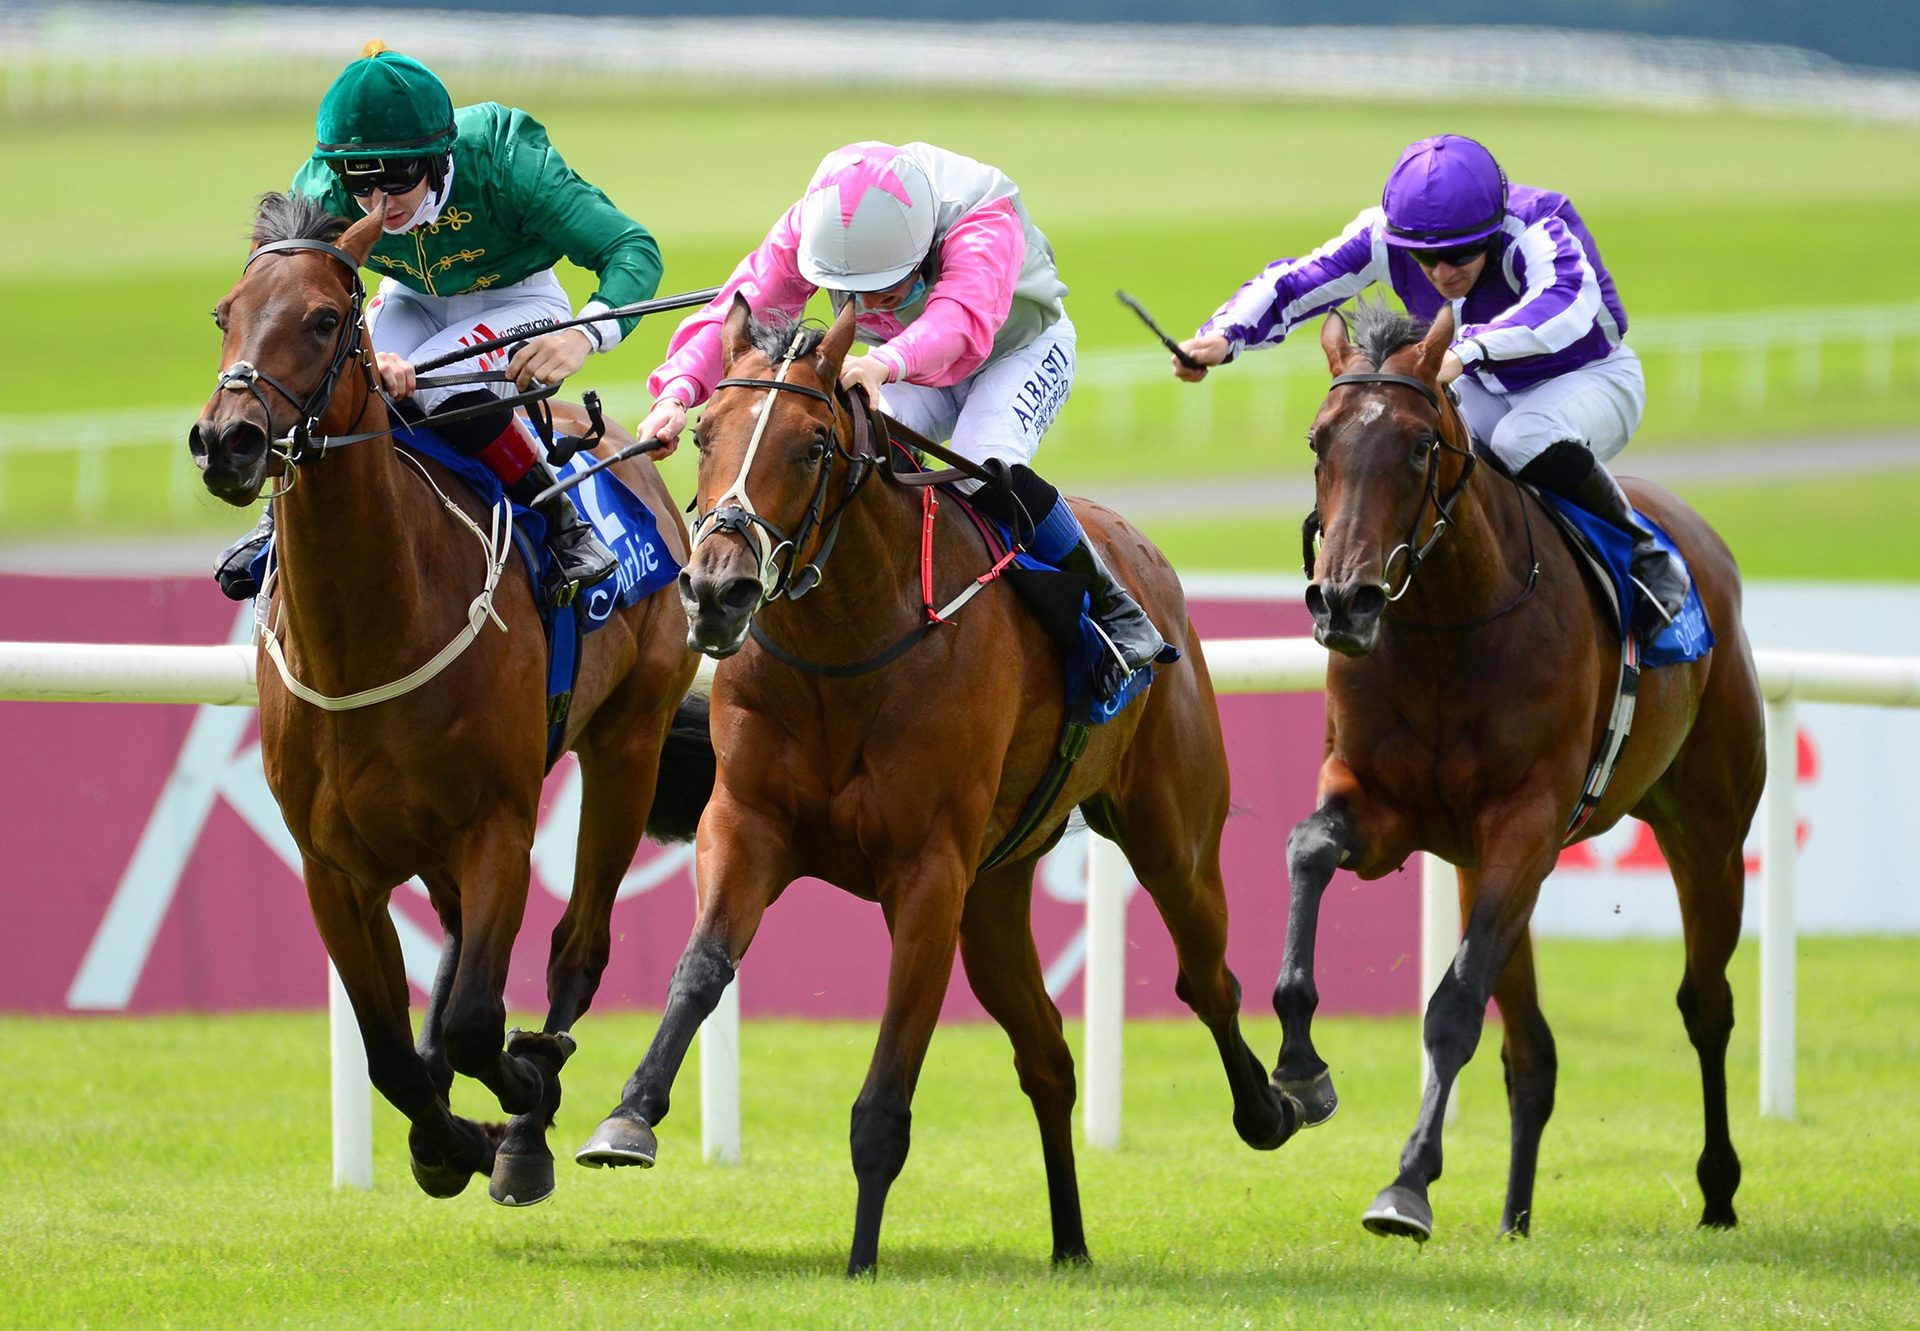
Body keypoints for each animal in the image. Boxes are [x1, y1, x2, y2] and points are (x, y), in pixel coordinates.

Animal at [185, 194, 714, 1206]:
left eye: (324, 320)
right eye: (225, 312)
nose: (226, 439)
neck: (367, 636)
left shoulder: (497, 826)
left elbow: (478, 1019)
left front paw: (518, 1104)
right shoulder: (332, 863)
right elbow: (391, 1051)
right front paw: (445, 1142)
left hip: (627, 741)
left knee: (576, 945)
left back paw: (532, 1111)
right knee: (462, 948)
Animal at [564, 295, 1290, 1275]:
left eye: (812, 446)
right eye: (705, 433)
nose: (716, 592)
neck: (849, 645)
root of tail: (1143, 550)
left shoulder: (929, 873)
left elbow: (887, 1091)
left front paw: (862, 1258)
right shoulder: (747, 824)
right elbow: (702, 966)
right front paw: (627, 1116)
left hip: (1170, 835)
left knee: (1209, 978)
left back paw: (1278, 1102)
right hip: (995, 896)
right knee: (1048, 1057)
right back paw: (1070, 1242)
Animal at [1282, 297, 1758, 1236]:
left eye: (1418, 446)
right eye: (1320, 441)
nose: (1345, 600)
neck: (1445, 629)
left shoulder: (1524, 825)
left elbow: (1454, 1006)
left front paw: (1407, 1182)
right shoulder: (1382, 808)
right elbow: (1308, 850)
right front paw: (1300, 1063)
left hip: (1709, 836)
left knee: (1705, 1004)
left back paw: (1718, 1186)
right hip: (1487, 865)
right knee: (1533, 1050)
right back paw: (1515, 1216)